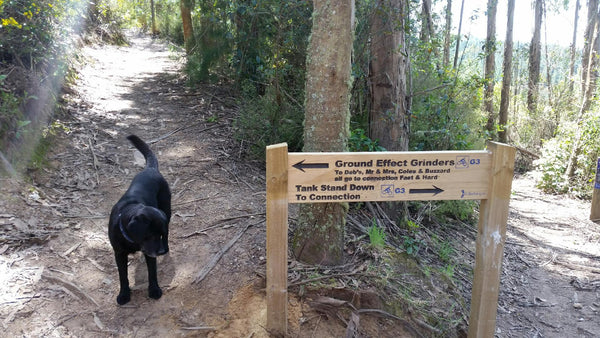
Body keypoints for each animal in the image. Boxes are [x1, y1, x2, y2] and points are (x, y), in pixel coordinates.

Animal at [108, 135, 171, 306]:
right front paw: (124, 294)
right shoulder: (119, 254)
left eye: (158, 235)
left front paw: (154, 290)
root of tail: (150, 169)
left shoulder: (151, 252)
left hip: (168, 212)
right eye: (149, 235)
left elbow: (152, 273)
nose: (161, 251)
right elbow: (123, 276)